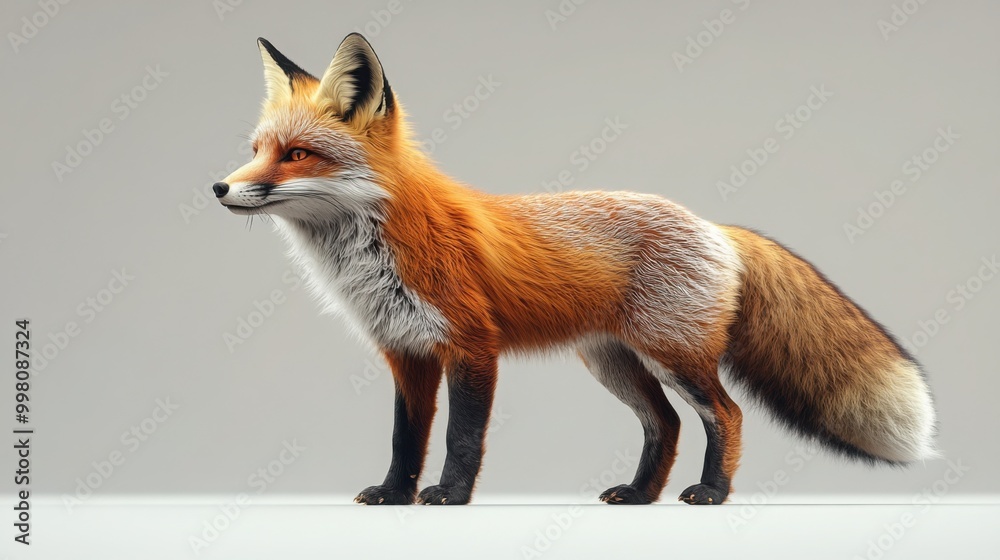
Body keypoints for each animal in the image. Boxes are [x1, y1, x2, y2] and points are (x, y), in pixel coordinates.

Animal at [214, 33, 937, 505]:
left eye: (297, 154)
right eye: (255, 149)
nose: (220, 187)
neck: (376, 251)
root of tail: (716, 227)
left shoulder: (471, 346)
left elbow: (460, 437)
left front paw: (448, 495)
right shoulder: (407, 351)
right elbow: (404, 438)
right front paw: (395, 495)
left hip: (674, 355)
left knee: (725, 415)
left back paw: (711, 491)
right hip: (612, 362)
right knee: (667, 425)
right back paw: (641, 495)